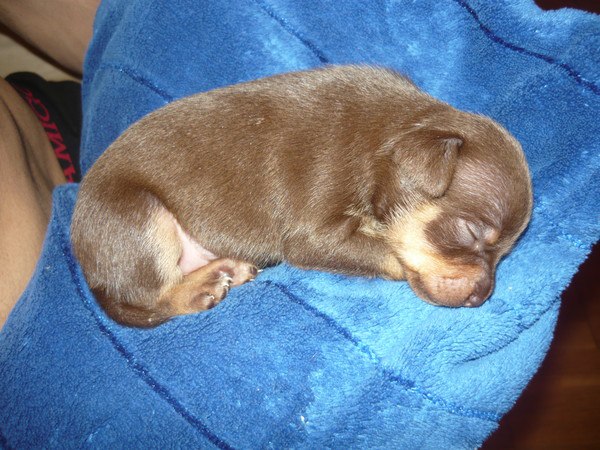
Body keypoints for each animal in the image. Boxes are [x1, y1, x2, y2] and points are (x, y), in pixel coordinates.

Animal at [71, 65, 532, 327]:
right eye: (470, 232)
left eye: (508, 253)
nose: (482, 297)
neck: (389, 138)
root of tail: (93, 276)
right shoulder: (314, 234)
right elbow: (386, 253)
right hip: (139, 215)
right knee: (149, 301)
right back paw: (201, 288)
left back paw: (225, 268)